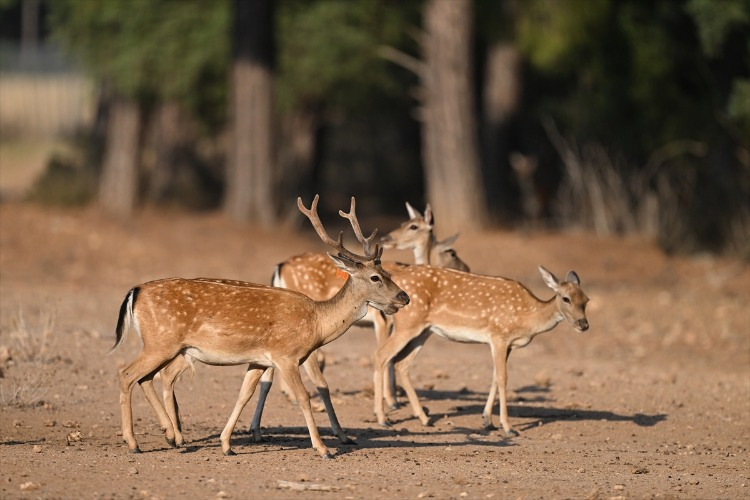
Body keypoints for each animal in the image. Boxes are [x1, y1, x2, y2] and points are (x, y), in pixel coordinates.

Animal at [111, 194, 408, 458]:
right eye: (376, 277)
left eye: (388, 272)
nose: (404, 297)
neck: (316, 322)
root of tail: (134, 292)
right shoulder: (286, 356)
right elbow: (304, 396)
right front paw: (323, 449)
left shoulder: (258, 360)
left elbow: (244, 395)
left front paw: (226, 445)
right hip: (161, 342)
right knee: (127, 374)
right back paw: (135, 442)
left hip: (168, 347)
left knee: (146, 377)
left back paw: (172, 435)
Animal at [374, 264, 592, 436]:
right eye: (566, 298)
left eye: (586, 300)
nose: (583, 325)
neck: (527, 318)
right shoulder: (499, 336)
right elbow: (503, 378)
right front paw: (508, 427)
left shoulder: (506, 344)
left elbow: (495, 376)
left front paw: (488, 420)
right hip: (408, 324)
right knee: (381, 355)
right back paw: (382, 418)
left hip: (424, 330)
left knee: (401, 363)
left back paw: (424, 418)